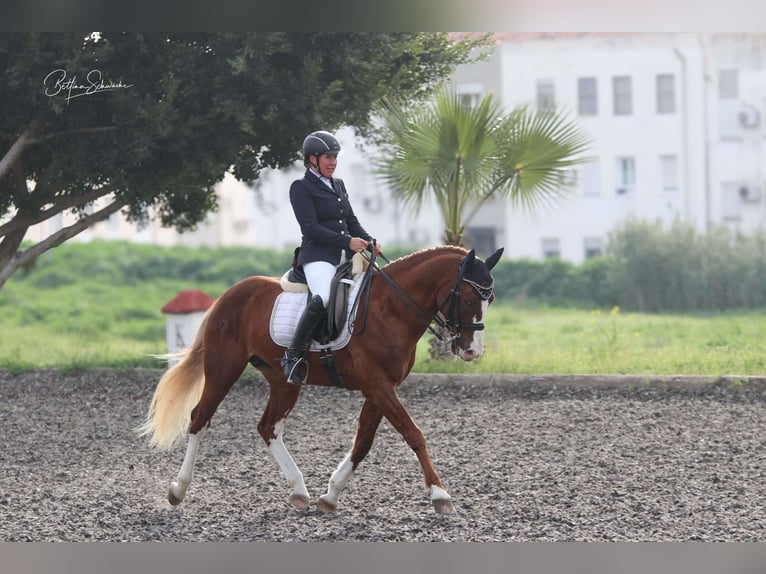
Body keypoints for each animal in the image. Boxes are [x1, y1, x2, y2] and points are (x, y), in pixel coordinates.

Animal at [141, 245, 508, 516]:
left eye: (490, 299)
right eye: (468, 298)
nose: (472, 351)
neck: (390, 309)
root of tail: (229, 294)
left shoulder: (380, 388)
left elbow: (363, 443)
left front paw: (330, 496)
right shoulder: (378, 384)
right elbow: (414, 434)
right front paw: (440, 495)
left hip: (285, 381)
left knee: (267, 426)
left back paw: (299, 490)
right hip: (223, 370)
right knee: (199, 419)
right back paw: (177, 490)